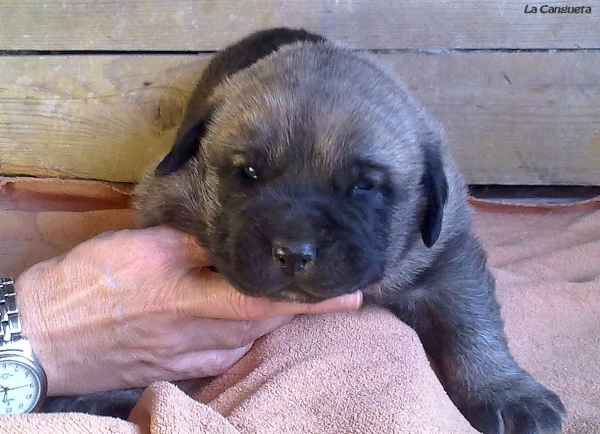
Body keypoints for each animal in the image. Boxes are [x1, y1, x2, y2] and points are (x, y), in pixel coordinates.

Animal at [45, 28, 564, 432]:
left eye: (364, 186)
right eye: (248, 174)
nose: (294, 253)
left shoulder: (446, 256)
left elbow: (469, 323)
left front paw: (504, 389)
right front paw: (112, 386)